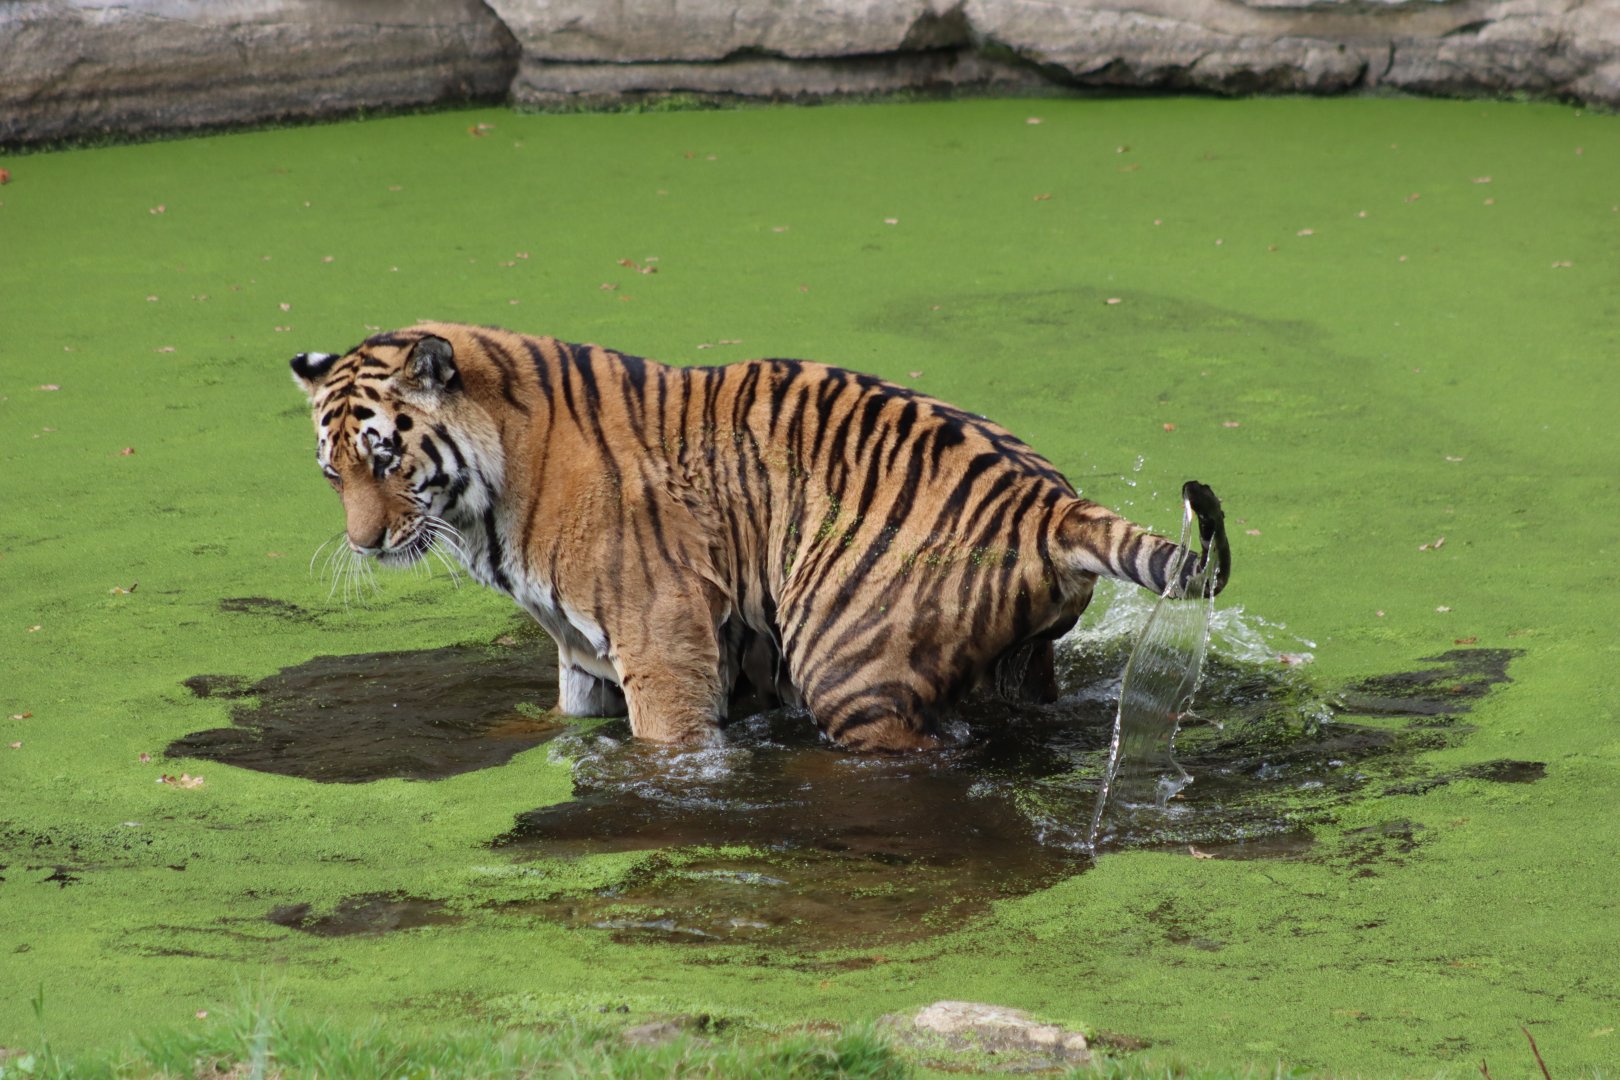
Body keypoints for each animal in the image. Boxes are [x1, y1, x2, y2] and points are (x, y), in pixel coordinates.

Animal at [290, 322, 1230, 752]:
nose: (365, 545)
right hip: (1020, 669)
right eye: (333, 474)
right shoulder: (581, 657)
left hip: (846, 666)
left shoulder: (664, 646)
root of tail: (1049, 502)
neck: (494, 499)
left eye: (384, 459)